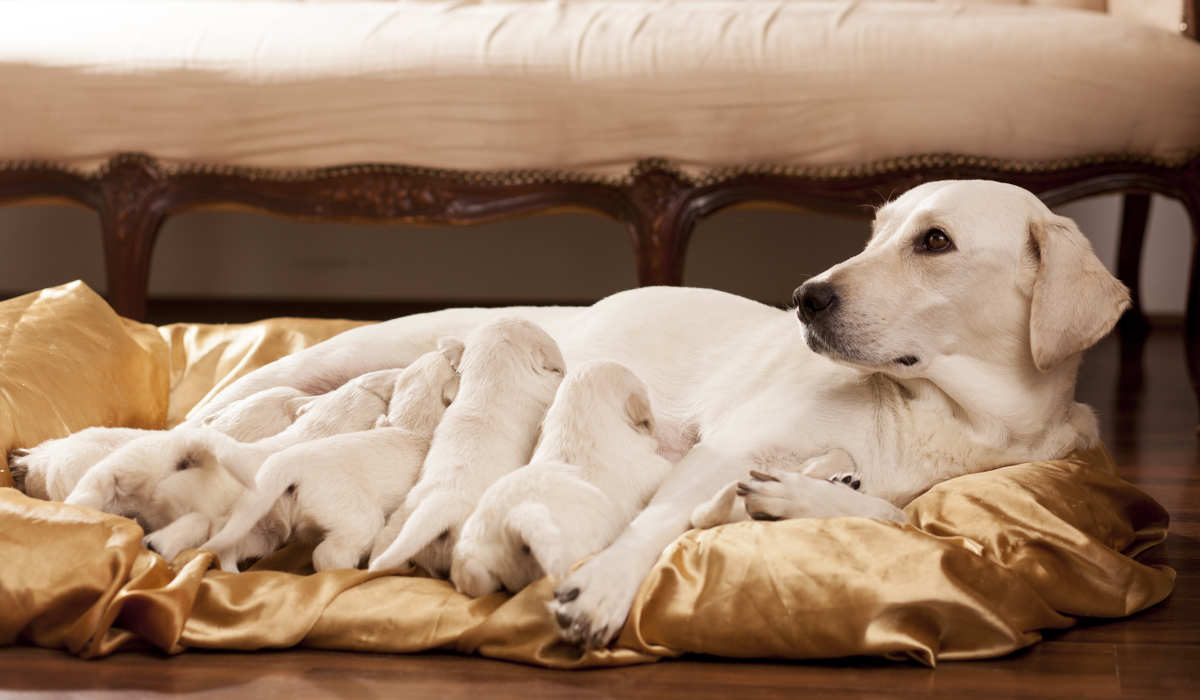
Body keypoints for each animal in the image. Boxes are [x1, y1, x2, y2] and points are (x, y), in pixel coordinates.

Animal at [199, 340, 460, 576]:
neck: (410, 425)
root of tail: (289, 464)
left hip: (260, 526)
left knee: (231, 544)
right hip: (357, 517)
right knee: (328, 556)